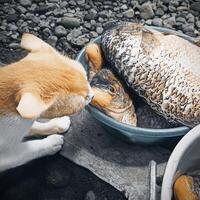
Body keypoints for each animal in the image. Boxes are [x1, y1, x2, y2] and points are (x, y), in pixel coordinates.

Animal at [0, 32, 93, 172]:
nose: (93, 95)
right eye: (84, 98)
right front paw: (51, 143)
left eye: (87, 79)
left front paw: (57, 123)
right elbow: (29, 150)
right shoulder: (6, 157)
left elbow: (35, 126)